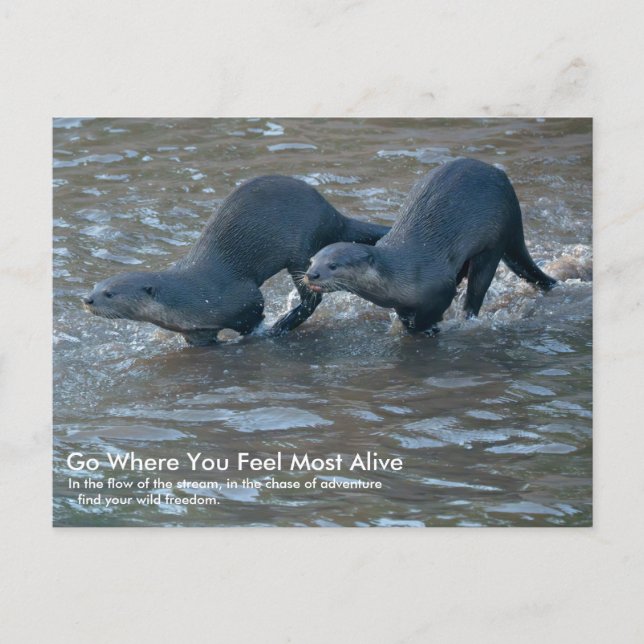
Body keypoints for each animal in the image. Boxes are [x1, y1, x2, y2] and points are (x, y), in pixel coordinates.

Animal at [83, 175, 389, 344]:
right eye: (96, 286)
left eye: (109, 293)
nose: (87, 299)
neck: (189, 297)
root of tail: (332, 214)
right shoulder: (196, 331)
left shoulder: (243, 299)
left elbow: (254, 316)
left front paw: (261, 332)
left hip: (302, 249)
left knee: (312, 298)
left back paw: (283, 324)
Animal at [304, 158, 556, 335]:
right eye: (312, 261)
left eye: (333, 265)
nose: (311, 274)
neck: (402, 272)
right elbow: (405, 315)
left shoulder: (439, 285)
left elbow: (433, 310)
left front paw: (428, 327)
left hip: (495, 240)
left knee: (477, 288)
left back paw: (466, 317)